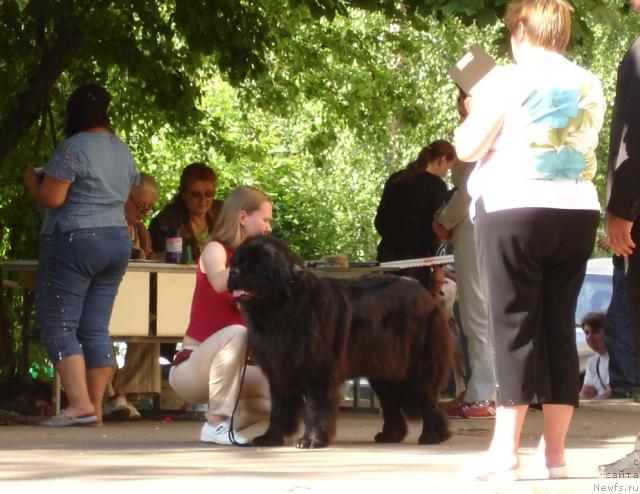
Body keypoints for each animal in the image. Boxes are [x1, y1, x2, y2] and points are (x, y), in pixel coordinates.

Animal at [228, 235, 452, 448]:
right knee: (391, 402)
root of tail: (425, 294)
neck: (284, 310)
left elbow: (315, 407)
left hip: (417, 367)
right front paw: (270, 438)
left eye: (257, 265)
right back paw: (390, 435)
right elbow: (279, 408)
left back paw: (432, 435)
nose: (234, 272)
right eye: (237, 261)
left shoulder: (317, 371)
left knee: (426, 399)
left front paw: (311, 440)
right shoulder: (279, 370)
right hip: (383, 369)